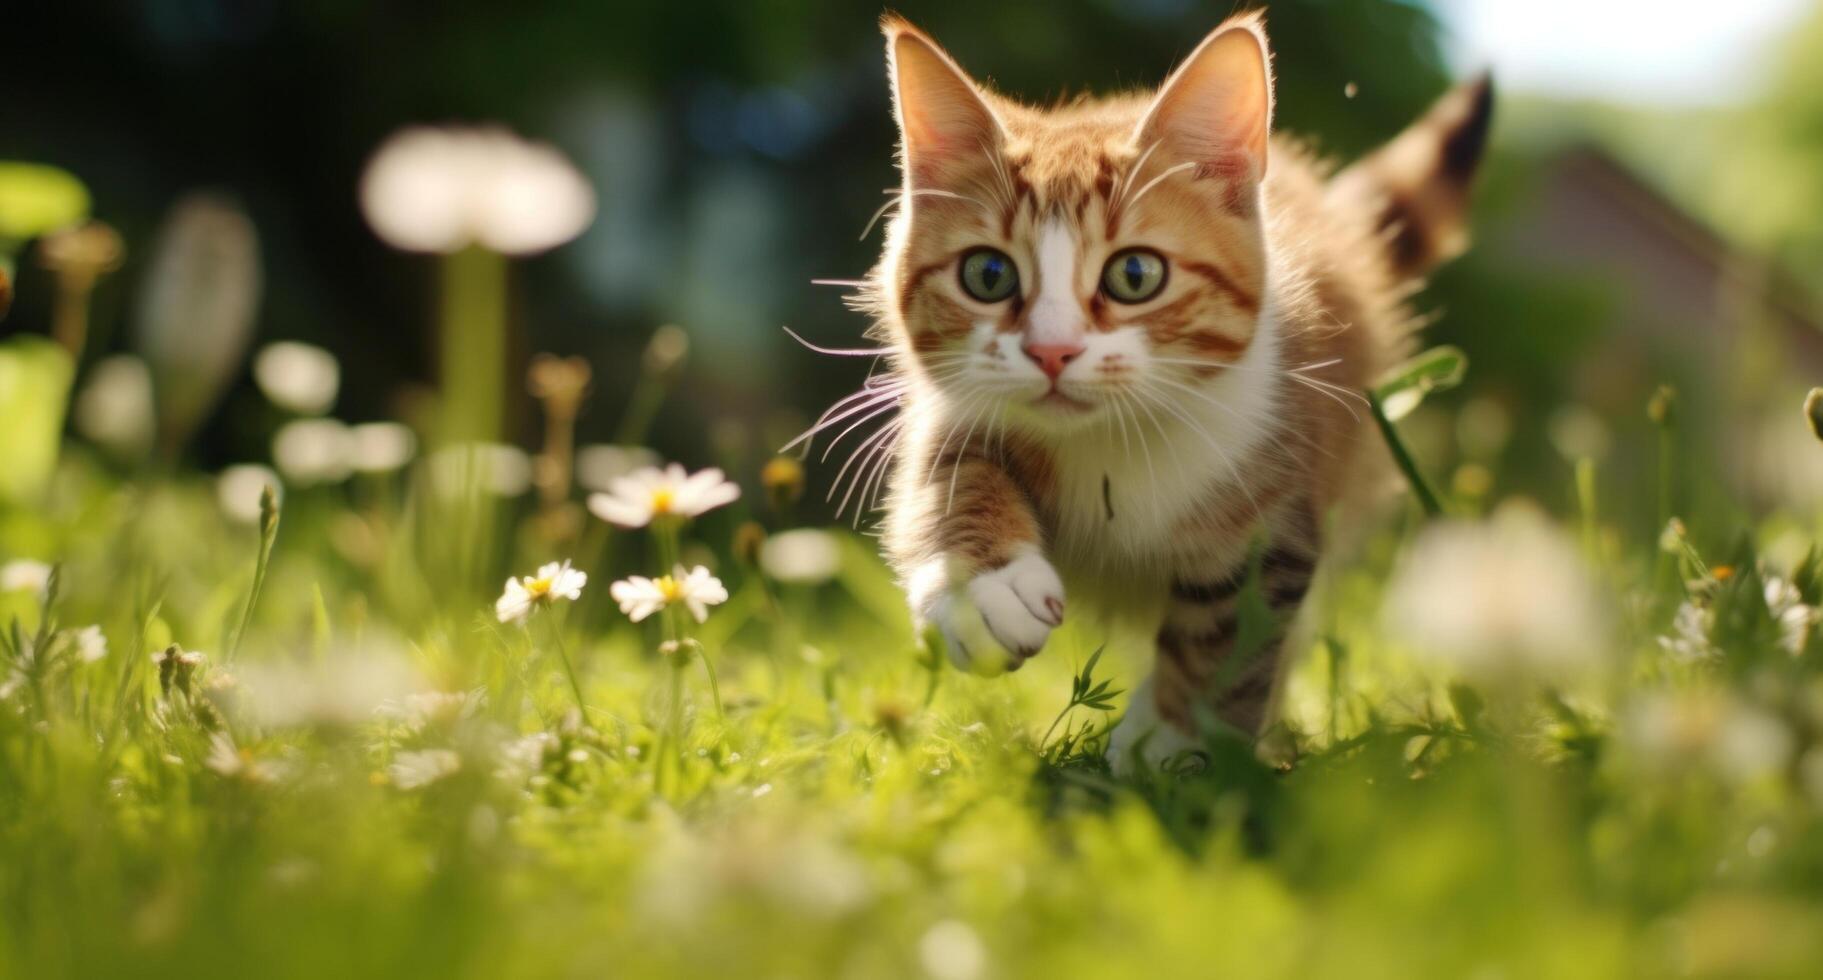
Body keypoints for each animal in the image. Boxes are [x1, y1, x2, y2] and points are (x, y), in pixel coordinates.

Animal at [838, 11, 1494, 765]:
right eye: (987, 275)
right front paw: (984, 587)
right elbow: (948, 471)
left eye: (1134, 275)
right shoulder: (947, 405)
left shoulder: (1282, 482)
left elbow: (1231, 631)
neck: (1107, 444)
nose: (1052, 351)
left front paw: (1171, 748)